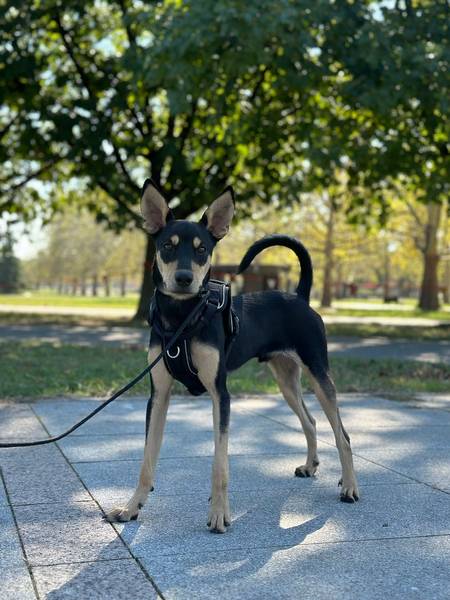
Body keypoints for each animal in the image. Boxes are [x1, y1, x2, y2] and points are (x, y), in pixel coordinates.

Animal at [105, 180, 358, 532]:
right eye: (167, 246)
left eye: (202, 250)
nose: (184, 279)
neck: (183, 318)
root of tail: (300, 296)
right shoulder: (159, 395)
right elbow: (146, 460)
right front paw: (132, 507)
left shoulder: (219, 394)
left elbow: (220, 462)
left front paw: (219, 513)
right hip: (286, 379)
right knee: (310, 420)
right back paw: (310, 466)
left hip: (318, 372)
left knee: (342, 433)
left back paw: (349, 487)